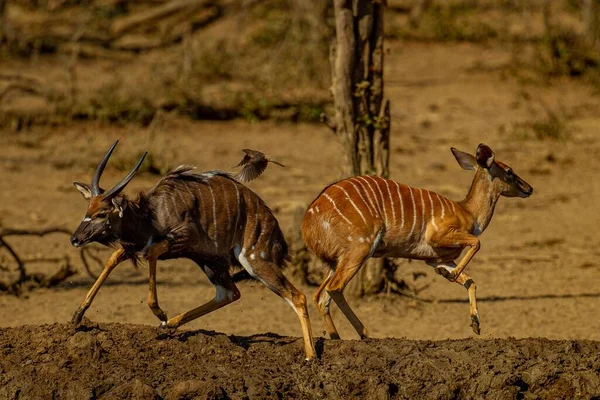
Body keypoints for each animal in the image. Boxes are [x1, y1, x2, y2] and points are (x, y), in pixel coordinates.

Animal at [70, 140, 316, 360]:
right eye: (87, 209)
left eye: (102, 213)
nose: (75, 239)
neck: (152, 215)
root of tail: (277, 237)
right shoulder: (137, 247)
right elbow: (113, 258)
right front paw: (77, 316)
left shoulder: (181, 238)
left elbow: (151, 253)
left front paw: (159, 311)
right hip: (211, 263)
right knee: (229, 293)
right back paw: (168, 325)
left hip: (255, 262)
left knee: (298, 296)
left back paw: (310, 356)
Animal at [302, 143, 532, 338]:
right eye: (509, 171)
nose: (529, 188)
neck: (468, 212)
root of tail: (309, 221)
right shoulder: (439, 236)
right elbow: (476, 243)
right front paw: (450, 276)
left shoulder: (436, 258)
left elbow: (470, 281)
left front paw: (475, 324)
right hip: (360, 247)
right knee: (334, 288)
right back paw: (365, 334)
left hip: (335, 261)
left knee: (320, 296)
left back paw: (336, 338)